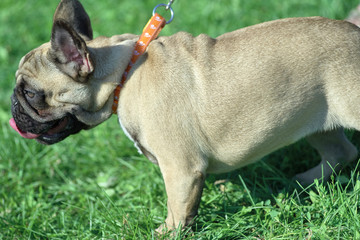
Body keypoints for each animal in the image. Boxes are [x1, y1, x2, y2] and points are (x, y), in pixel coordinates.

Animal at [9, 0, 360, 231]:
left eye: (30, 93)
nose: (13, 106)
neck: (124, 74)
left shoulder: (181, 170)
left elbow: (177, 210)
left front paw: (167, 233)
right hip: (316, 120)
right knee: (341, 152)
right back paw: (301, 183)